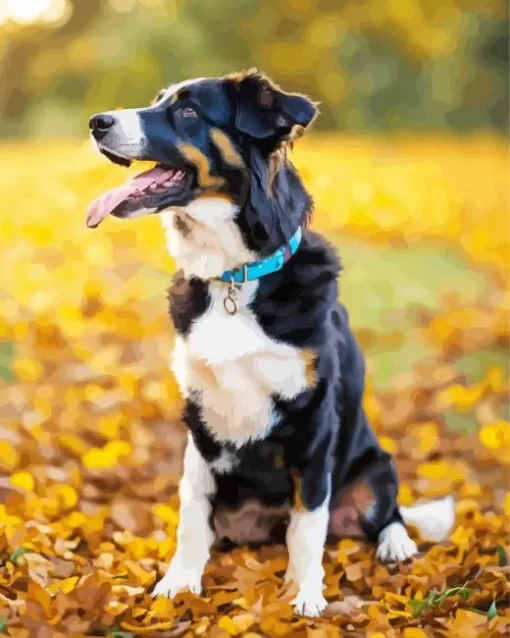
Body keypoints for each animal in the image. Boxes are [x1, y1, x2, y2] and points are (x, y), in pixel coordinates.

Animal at [86, 70, 454, 620]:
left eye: (188, 111)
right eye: (158, 100)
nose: (97, 122)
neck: (235, 278)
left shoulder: (314, 423)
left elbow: (307, 527)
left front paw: (303, 595)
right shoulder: (199, 420)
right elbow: (191, 515)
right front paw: (178, 584)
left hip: (376, 465)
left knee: (388, 513)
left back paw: (396, 544)